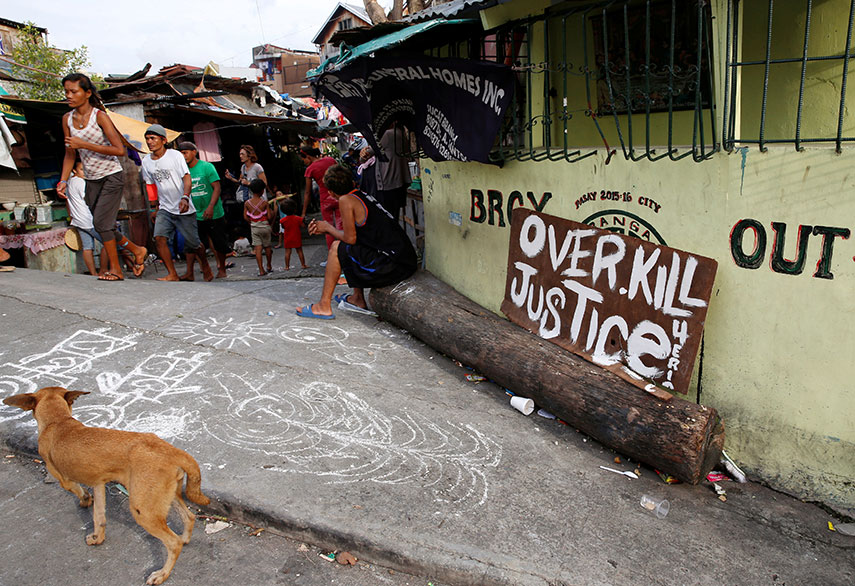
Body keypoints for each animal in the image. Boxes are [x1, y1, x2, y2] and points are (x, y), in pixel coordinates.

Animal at [3, 386, 211, 580]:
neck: (58, 421)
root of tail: (173, 451)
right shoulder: (99, 483)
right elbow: (99, 516)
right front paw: (97, 537)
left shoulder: (64, 479)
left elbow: (78, 491)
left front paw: (85, 500)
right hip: (165, 496)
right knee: (189, 517)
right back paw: (185, 538)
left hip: (143, 510)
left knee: (173, 543)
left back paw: (162, 574)